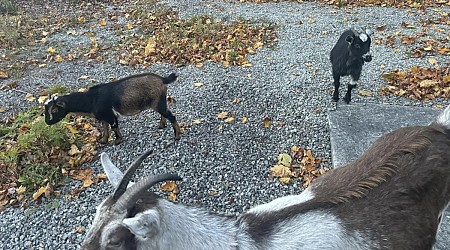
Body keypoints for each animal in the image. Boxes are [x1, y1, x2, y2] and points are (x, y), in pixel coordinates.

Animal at [44, 72, 181, 145]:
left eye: (54, 111)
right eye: (44, 111)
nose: (47, 122)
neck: (90, 100)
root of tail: (163, 79)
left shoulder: (110, 114)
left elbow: (114, 126)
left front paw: (118, 141)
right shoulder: (103, 117)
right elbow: (105, 128)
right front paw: (103, 140)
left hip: (158, 102)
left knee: (171, 116)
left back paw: (177, 136)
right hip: (158, 102)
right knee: (165, 114)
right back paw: (162, 125)